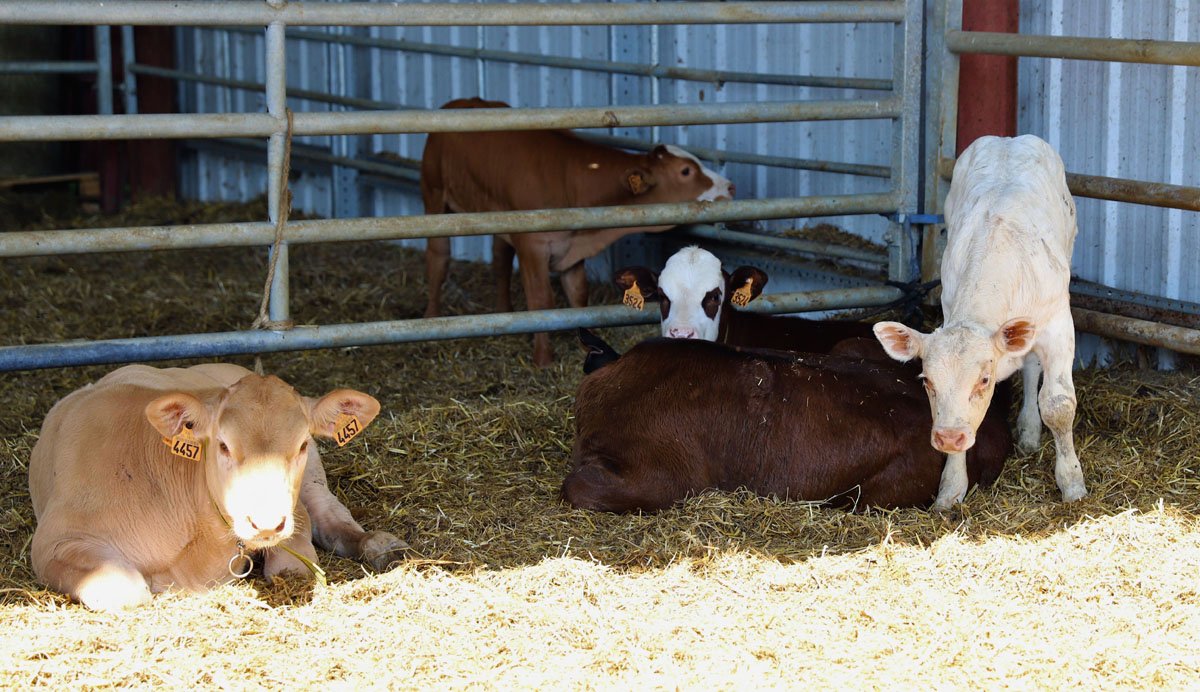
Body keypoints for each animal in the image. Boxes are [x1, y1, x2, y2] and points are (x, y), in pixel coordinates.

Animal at [29, 363, 408, 611]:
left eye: (300, 443)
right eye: (223, 445)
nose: (266, 524)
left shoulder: (293, 513)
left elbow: (293, 567)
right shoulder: (54, 543)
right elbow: (128, 591)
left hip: (313, 480)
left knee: (331, 515)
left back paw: (381, 545)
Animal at [420, 97, 734, 367]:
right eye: (685, 171)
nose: (730, 186)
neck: (566, 181)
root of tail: (461, 103)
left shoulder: (572, 249)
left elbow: (578, 296)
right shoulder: (532, 246)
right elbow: (541, 301)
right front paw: (543, 359)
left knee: (499, 260)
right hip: (434, 194)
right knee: (438, 256)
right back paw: (432, 317)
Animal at [872, 134, 1085, 508]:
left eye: (985, 380)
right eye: (927, 381)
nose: (948, 437)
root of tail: (1009, 140)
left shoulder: (1058, 325)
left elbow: (1058, 405)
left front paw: (1072, 482)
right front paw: (950, 488)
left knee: (1032, 368)